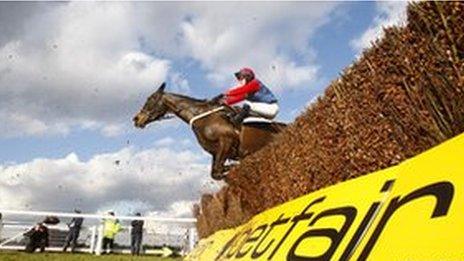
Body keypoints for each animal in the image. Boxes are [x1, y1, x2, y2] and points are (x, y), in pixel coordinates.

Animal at [132, 83, 286, 179]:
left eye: (150, 99)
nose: (136, 119)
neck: (204, 118)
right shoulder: (216, 152)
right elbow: (215, 173)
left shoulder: (226, 141)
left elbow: (218, 172)